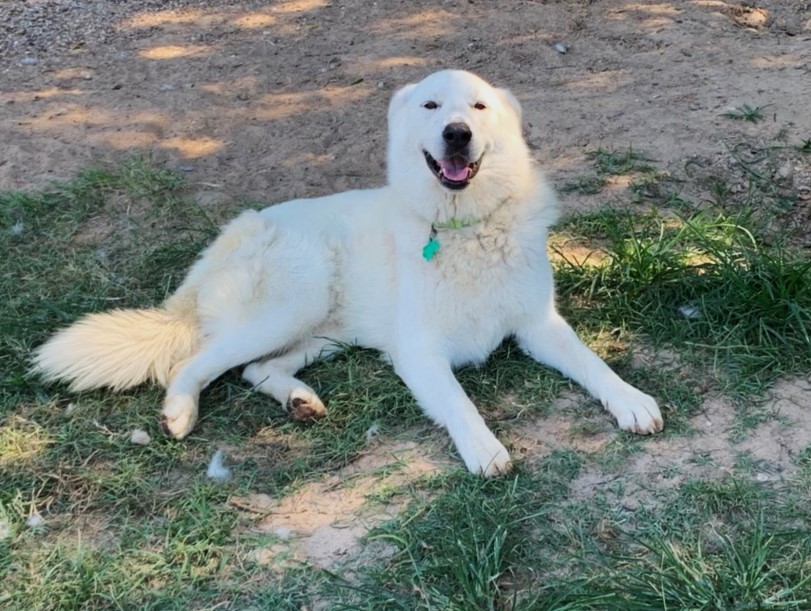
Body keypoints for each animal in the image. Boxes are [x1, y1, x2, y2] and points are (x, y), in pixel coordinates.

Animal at [35, 70, 664, 478]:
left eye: (479, 108)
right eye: (432, 107)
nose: (457, 132)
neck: (464, 227)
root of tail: (235, 232)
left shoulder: (539, 325)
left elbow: (593, 362)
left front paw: (631, 400)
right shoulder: (420, 353)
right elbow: (460, 402)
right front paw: (485, 450)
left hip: (325, 333)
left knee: (257, 369)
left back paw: (299, 401)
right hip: (296, 303)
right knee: (194, 364)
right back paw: (179, 415)